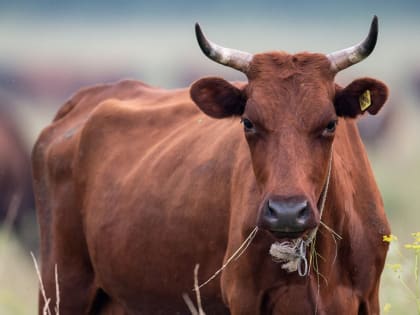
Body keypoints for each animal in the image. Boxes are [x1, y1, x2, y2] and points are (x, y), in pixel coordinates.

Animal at [32, 17, 390, 315]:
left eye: (330, 124)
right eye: (248, 122)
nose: (287, 212)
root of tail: (87, 98)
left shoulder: (368, 298)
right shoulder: (244, 298)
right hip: (61, 287)